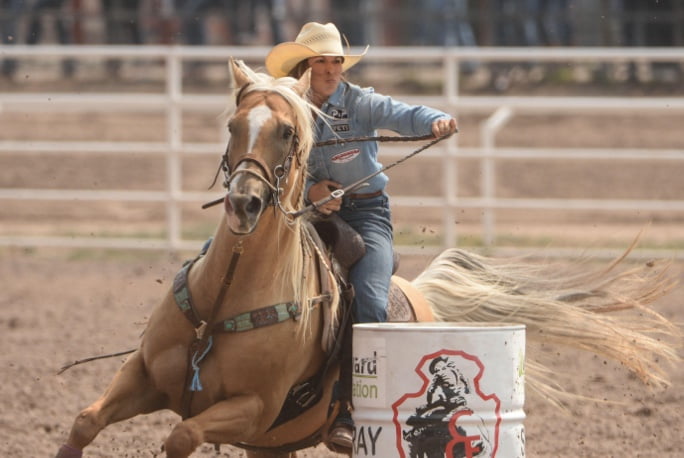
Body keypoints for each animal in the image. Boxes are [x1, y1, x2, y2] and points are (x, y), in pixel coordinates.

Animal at [57, 59, 680, 456]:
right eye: (234, 126)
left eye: (287, 132)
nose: (243, 203)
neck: (230, 293)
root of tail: (422, 298)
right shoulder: (144, 375)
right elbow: (84, 423)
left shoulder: (253, 406)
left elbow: (181, 436)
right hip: (269, 445)